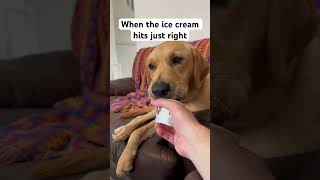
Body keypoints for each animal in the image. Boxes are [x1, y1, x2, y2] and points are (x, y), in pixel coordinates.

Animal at [112, 41, 210, 177]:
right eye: (151, 66)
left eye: (177, 59)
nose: (157, 90)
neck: (187, 100)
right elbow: (137, 131)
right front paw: (124, 158)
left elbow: (138, 131)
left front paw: (124, 158)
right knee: (139, 118)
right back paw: (122, 130)